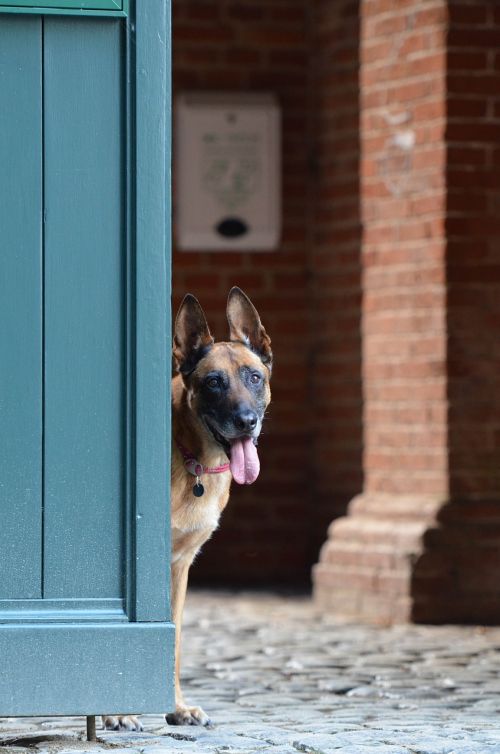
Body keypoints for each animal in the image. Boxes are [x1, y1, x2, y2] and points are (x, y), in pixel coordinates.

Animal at [103, 284, 272, 728]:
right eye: (213, 382)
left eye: (254, 377)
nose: (246, 421)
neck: (193, 456)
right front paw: (116, 710)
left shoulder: (177, 569)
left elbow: (174, 641)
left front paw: (176, 707)